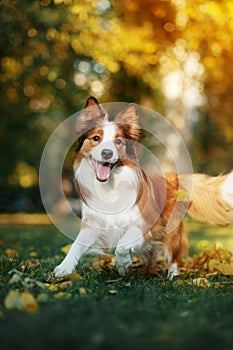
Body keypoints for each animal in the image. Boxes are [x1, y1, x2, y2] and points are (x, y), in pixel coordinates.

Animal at [53, 97, 233, 280]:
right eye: (96, 138)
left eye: (118, 141)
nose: (106, 153)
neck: (110, 186)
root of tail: (170, 178)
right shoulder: (94, 223)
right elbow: (76, 245)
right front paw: (64, 267)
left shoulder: (146, 222)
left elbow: (122, 245)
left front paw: (122, 264)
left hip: (171, 232)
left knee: (174, 255)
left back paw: (172, 274)